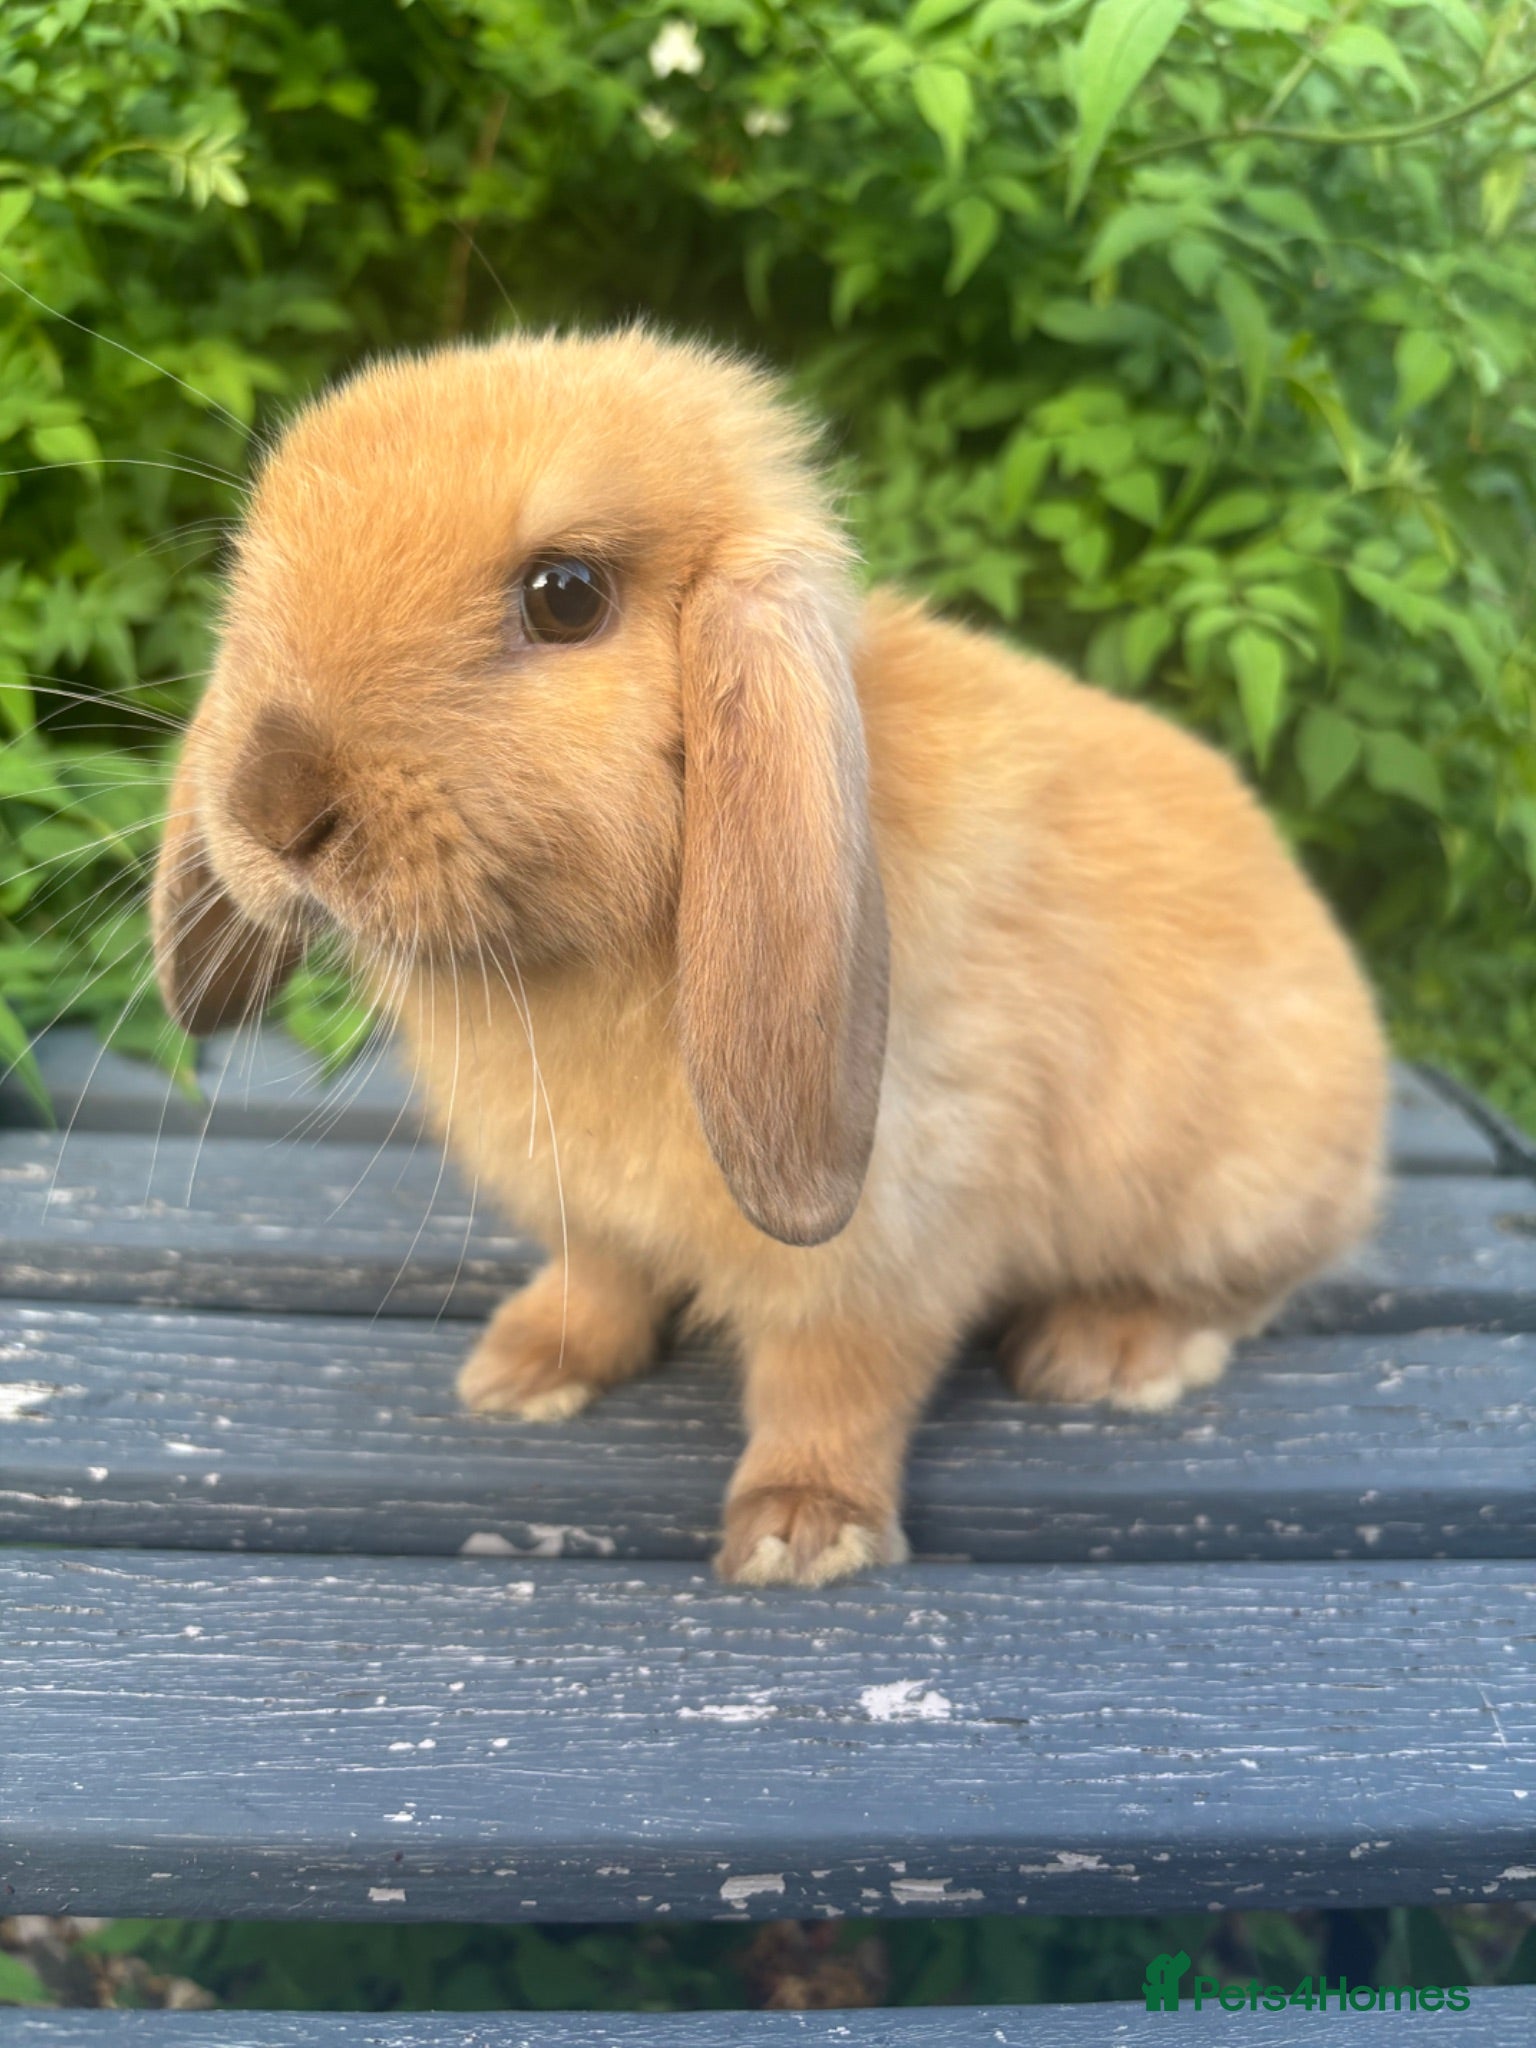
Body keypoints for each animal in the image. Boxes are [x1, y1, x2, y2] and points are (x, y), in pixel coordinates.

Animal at [152, 327, 1387, 1587]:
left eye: (566, 595)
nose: (273, 806)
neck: (586, 962)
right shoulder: (588, 1212)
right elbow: (599, 1284)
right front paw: (525, 1370)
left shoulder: (887, 1242)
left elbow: (834, 1384)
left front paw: (805, 1532)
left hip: (1237, 1189)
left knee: (1247, 1288)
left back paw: (1112, 1350)